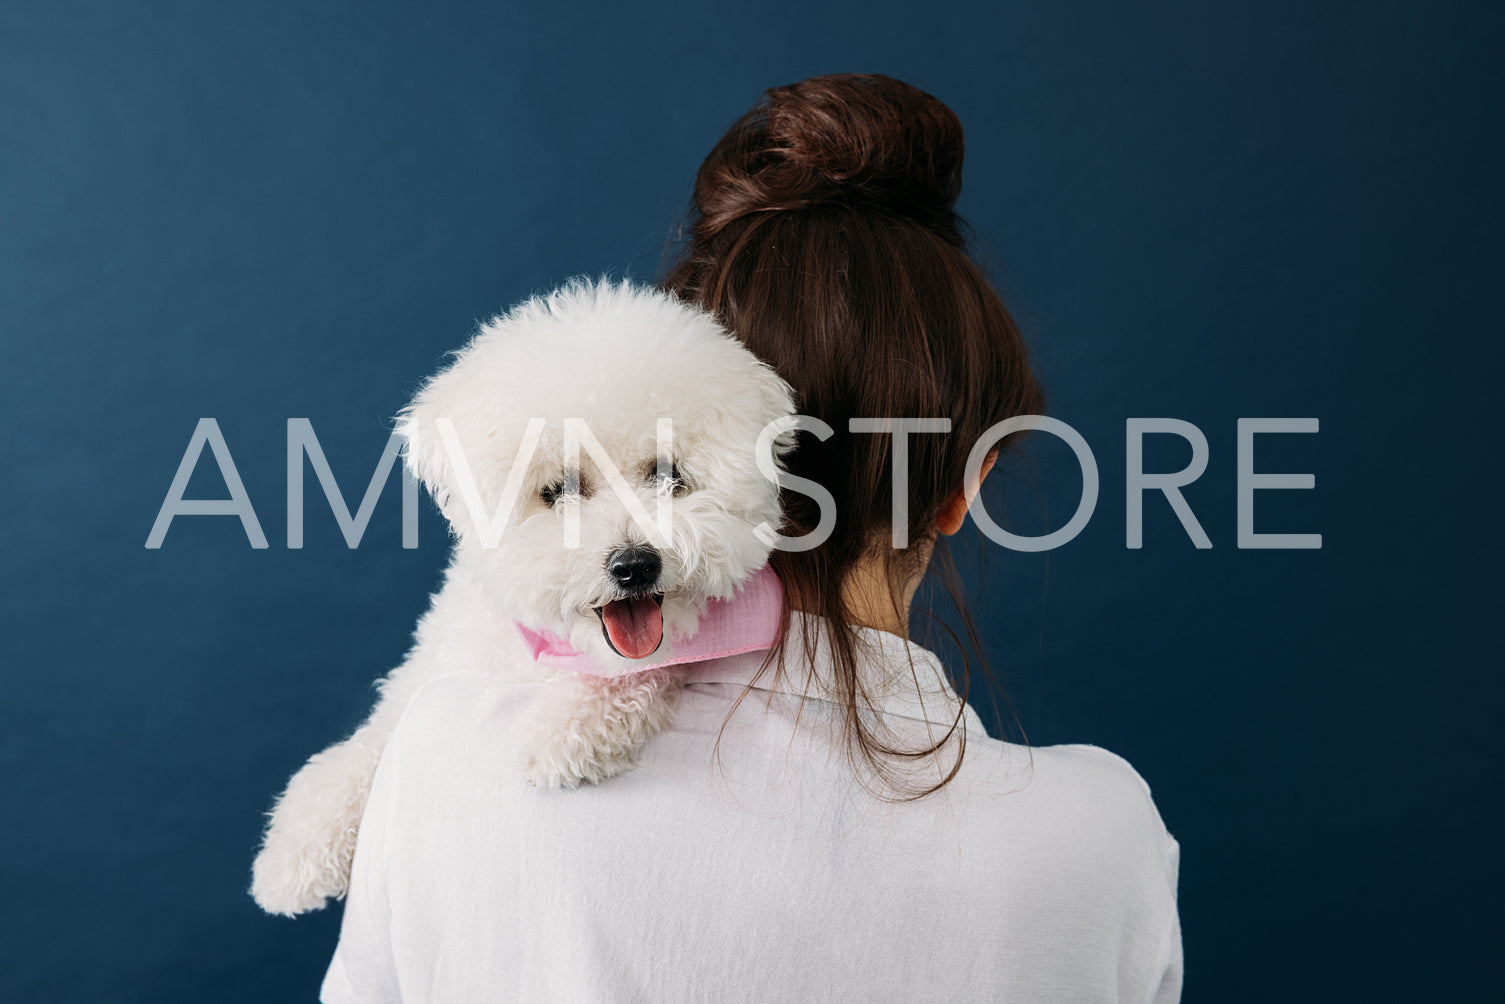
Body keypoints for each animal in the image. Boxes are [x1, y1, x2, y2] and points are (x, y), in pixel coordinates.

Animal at [251, 278, 794, 915]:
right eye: (557, 490)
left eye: (666, 475)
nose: (634, 565)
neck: (551, 649)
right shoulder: (438, 669)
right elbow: (372, 738)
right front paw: (301, 845)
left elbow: (638, 675)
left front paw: (569, 728)